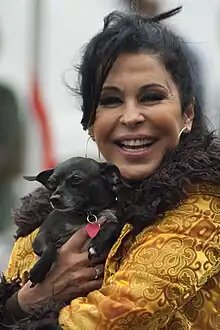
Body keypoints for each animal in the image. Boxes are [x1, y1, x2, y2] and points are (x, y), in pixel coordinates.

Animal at [24, 157, 125, 286]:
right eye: (51, 183)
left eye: (76, 179)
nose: (54, 199)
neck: (87, 214)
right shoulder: (41, 236)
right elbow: (49, 248)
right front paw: (39, 270)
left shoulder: (116, 218)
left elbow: (112, 225)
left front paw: (97, 243)